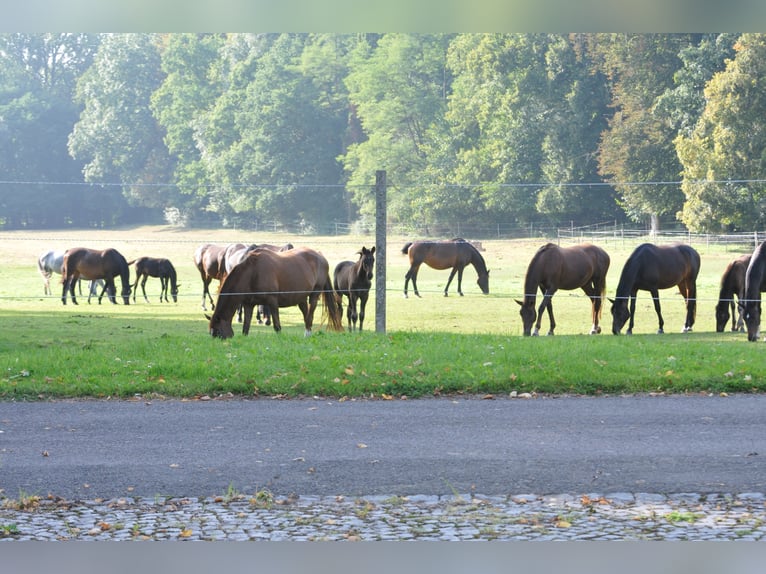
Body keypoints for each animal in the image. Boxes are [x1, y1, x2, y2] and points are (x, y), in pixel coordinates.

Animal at [207, 247, 343, 338]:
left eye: (217, 332)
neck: (252, 273)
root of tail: (320, 256)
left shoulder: (272, 301)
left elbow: (277, 326)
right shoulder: (248, 304)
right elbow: (246, 326)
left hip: (314, 294)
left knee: (310, 315)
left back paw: (307, 334)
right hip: (301, 298)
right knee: (306, 315)